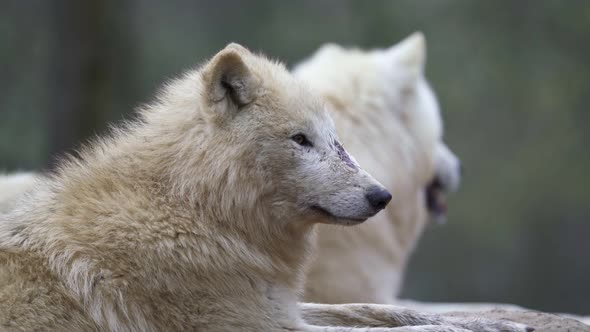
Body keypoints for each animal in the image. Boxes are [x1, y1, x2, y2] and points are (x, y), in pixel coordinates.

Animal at [0, 44, 532, 332]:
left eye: (336, 140)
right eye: (301, 139)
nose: (381, 196)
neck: (195, 211)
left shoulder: (284, 307)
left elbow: (387, 315)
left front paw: (499, 321)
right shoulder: (262, 322)